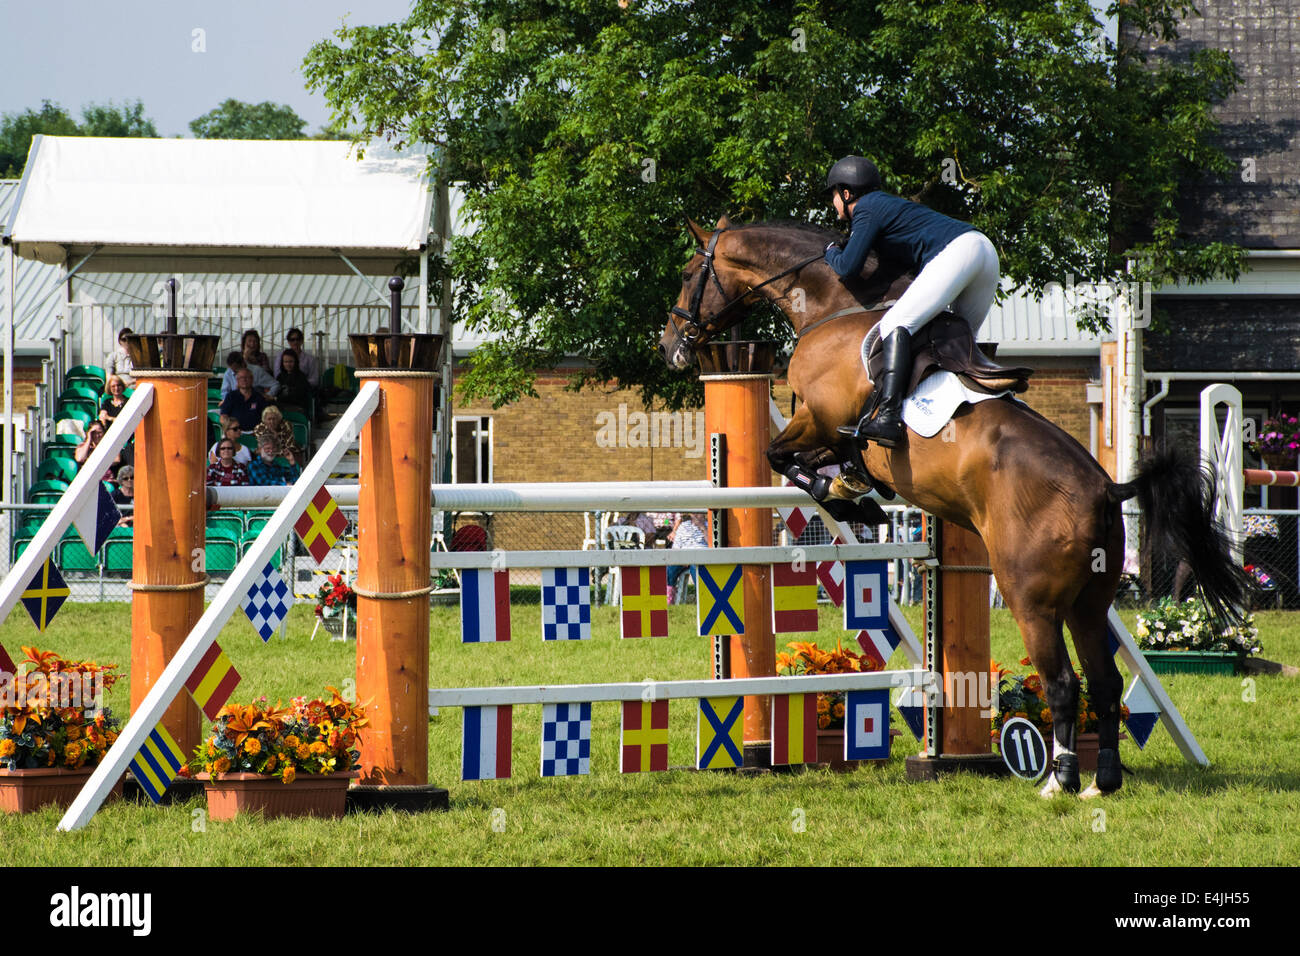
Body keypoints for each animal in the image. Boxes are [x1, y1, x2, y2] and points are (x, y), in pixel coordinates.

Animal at [660, 217, 1248, 801]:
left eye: (689, 274)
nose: (671, 347)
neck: (830, 307)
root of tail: (1106, 489)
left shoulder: (820, 420)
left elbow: (780, 455)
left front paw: (848, 500)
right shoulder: (827, 432)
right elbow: (814, 460)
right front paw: (854, 491)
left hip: (1030, 600)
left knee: (1062, 684)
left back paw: (1059, 781)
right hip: (1090, 601)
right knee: (1102, 683)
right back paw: (1101, 782)